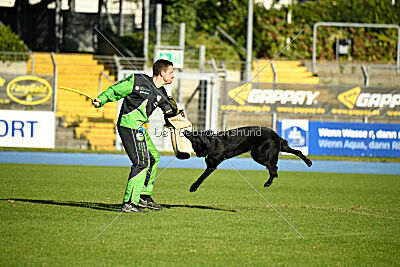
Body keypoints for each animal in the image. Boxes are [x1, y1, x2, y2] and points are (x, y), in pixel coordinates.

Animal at [184, 127, 312, 193]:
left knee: (273, 167)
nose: (185, 131)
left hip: (258, 154)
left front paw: (193, 187)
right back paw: (308, 162)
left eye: (194, 135)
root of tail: (275, 134)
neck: (211, 144)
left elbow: (201, 177)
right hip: (280, 147)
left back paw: (269, 182)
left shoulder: (211, 166)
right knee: (297, 152)